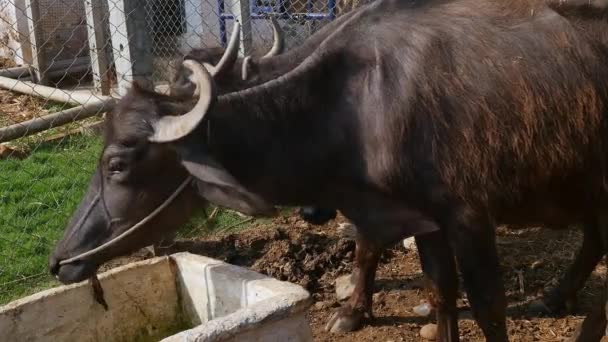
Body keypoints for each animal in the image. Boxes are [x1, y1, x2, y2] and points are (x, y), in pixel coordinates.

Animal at [48, 0, 608, 340]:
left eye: (117, 163)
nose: (60, 261)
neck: (358, 104)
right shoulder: (419, 220)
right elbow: (439, 292)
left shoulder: (469, 217)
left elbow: (487, 307)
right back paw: (558, 296)